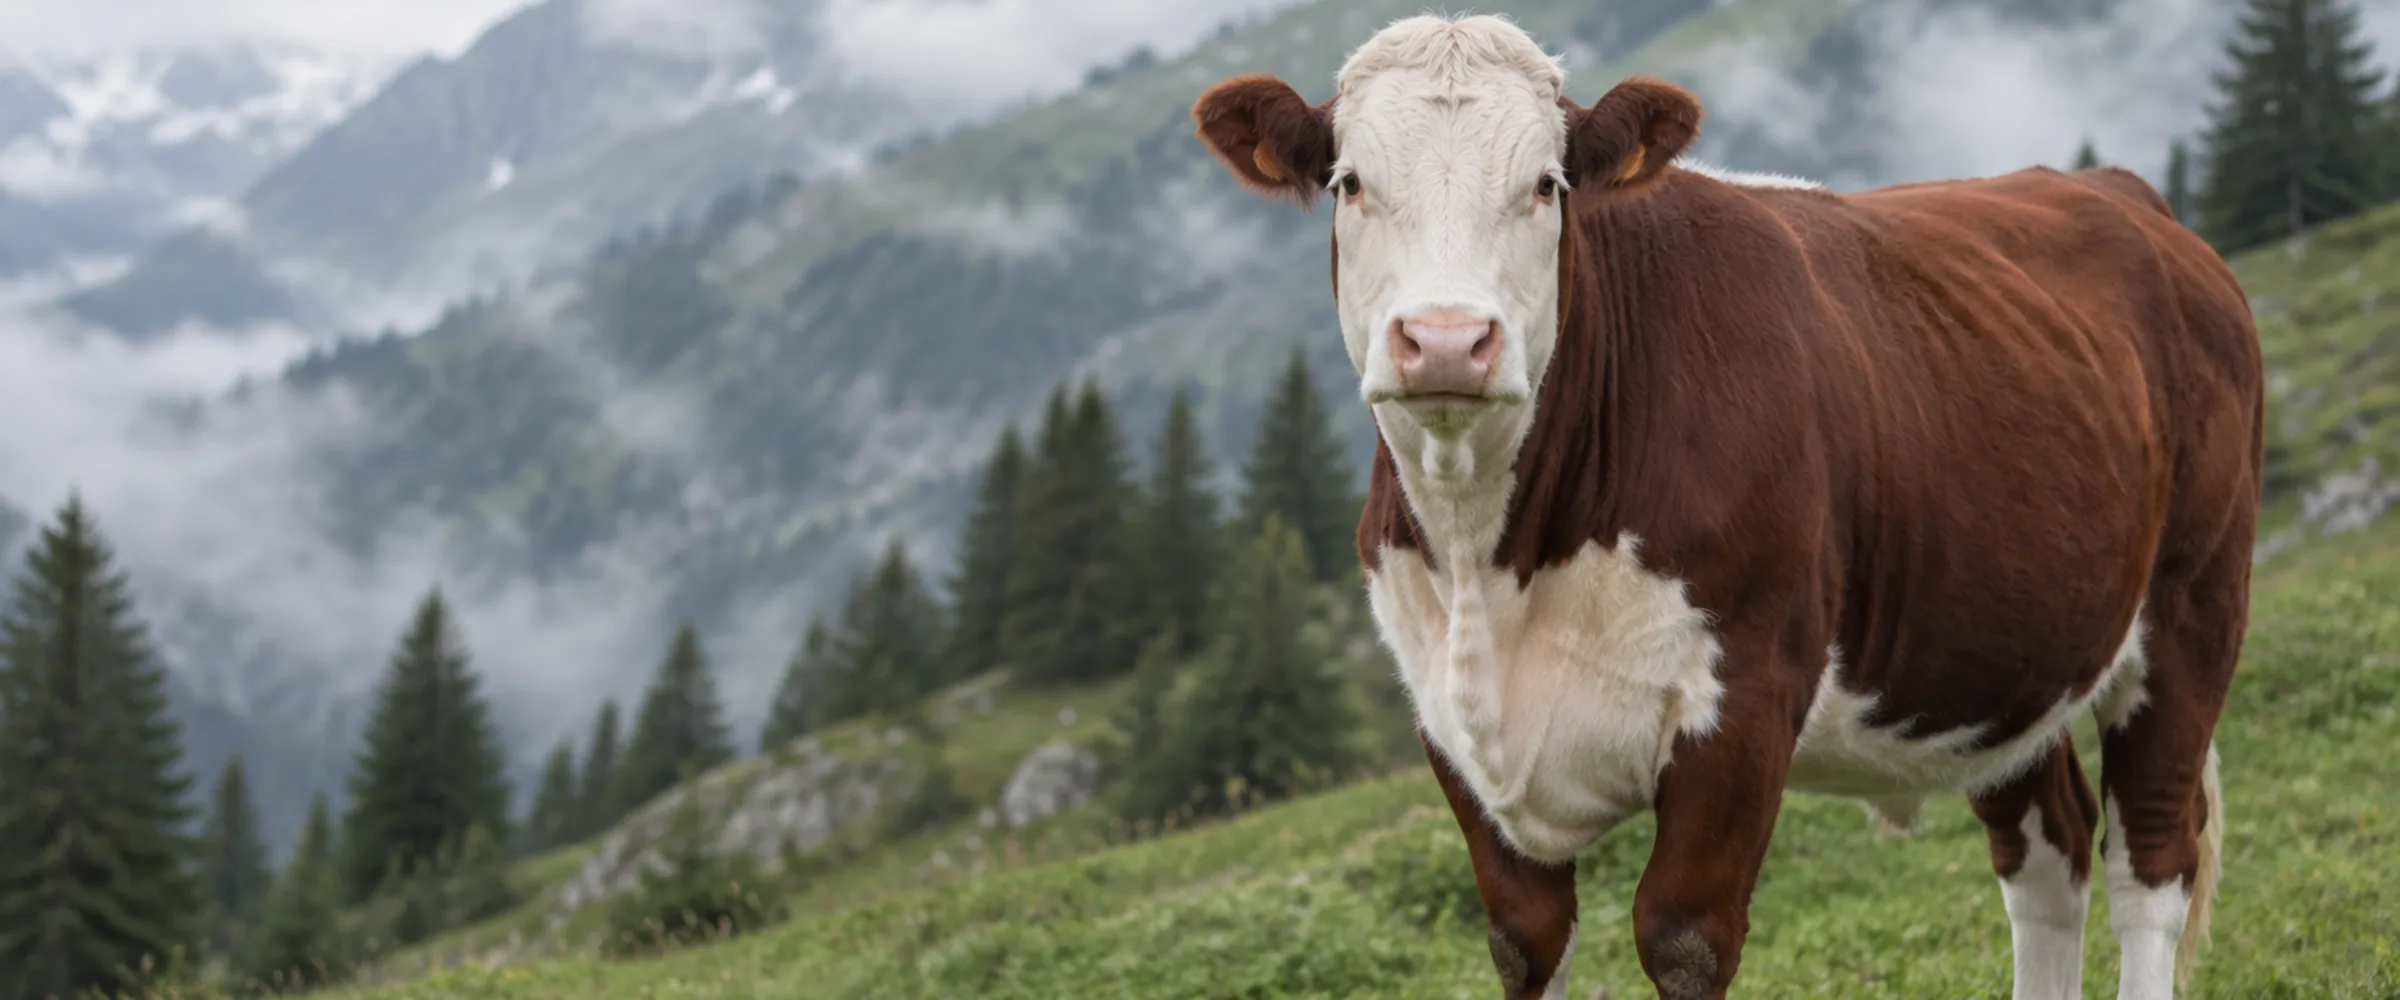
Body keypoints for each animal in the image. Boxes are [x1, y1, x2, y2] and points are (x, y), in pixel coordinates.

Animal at [1188, 13, 2261, 1000]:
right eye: (1349, 183)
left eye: (1547, 185)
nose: (1447, 340)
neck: (1492, 563)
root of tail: (2114, 191)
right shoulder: (1452, 728)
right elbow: (1526, 942)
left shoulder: (1745, 699)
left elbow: (1684, 940)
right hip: (1998, 654)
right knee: (2048, 858)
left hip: (2195, 603)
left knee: (2150, 860)